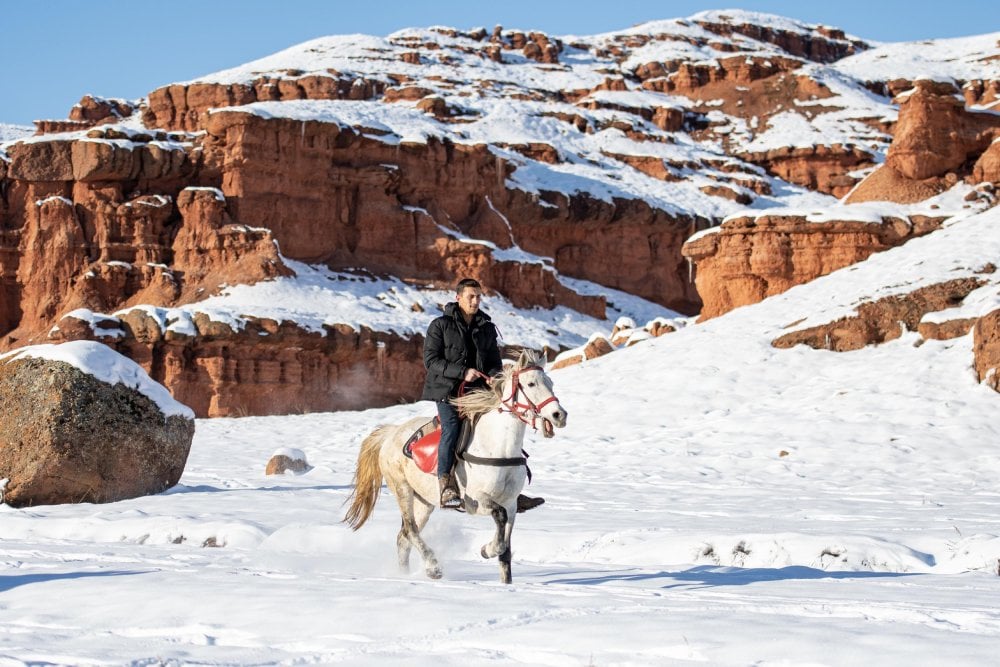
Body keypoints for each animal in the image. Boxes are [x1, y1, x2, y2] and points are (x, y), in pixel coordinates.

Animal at [344, 350, 568, 584]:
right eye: (531, 383)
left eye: (550, 383)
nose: (559, 415)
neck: (498, 446)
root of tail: (391, 433)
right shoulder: (476, 500)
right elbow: (499, 522)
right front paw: (486, 550)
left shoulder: (511, 504)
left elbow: (505, 550)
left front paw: (505, 581)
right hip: (402, 489)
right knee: (411, 530)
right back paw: (433, 567)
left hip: (424, 502)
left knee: (403, 537)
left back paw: (403, 575)